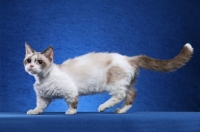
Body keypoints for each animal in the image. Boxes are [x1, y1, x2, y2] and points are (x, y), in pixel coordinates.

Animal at [23, 42, 194, 114]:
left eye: (39, 62)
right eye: (28, 60)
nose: (30, 67)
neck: (42, 79)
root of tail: (128, 58)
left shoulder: (70, 91)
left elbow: (72, 103)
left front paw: (70, 112)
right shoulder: (43, 96)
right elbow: (40, 106)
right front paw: (34, 111)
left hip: (114, 84)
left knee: (121, 95)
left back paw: (103, 107)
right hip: (126, 83)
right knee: (131, 94)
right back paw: (120, 111)